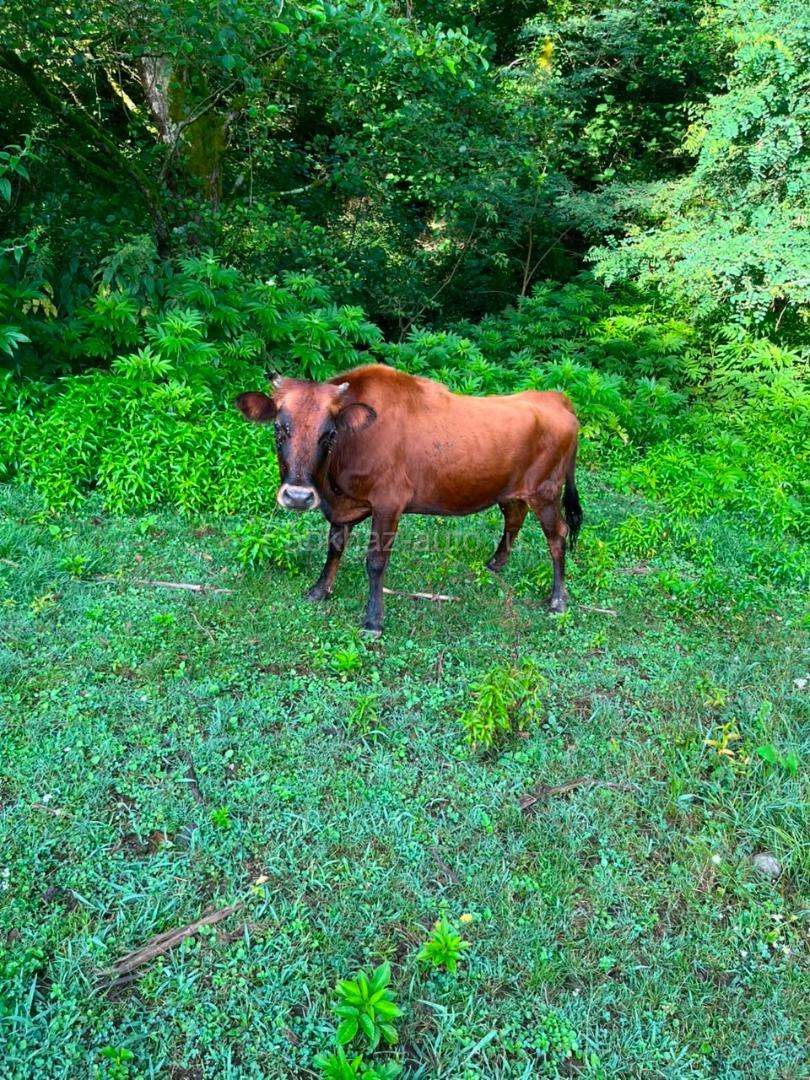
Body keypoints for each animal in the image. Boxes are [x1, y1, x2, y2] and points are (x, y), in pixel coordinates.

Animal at [236, 364, 582, 634]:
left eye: (329, 434)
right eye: (279, 429)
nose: (297, 496)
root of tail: (555, 398)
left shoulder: (389, 502)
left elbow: (375, 561)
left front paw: (373, 621)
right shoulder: (343, 507)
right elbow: (335, 547)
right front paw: (320, 590)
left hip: (546, 491)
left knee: (557, 535)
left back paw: (558, 599)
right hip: (511, 490)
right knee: (514, 517)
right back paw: (496, 564)